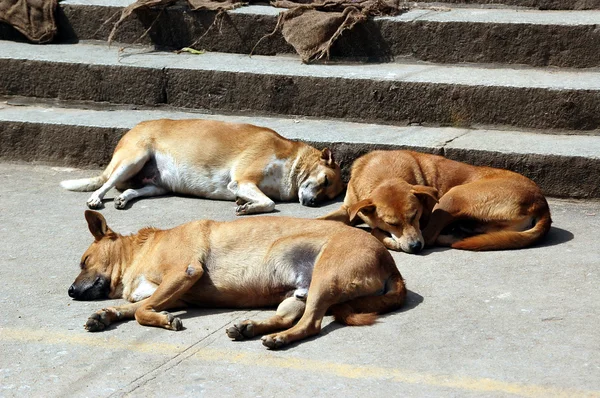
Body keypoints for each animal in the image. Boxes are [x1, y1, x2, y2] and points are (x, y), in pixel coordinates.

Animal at [60, 119, 344, 215]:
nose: (313, 204)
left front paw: (246, 204)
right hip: (133, 158)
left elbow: (266, 200)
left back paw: (124, 198)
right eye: (326, 181)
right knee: (106, 183)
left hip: (159, 185)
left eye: (328, 195)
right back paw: (96, 198)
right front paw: (249, 207)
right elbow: (270, 202)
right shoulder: (241, 181)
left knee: (133, 190)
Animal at [69, 211, 408, 348]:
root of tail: (390, 262)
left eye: (84, 261)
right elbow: (134, 308)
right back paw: (251, 328)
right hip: (299, 292)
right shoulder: (168, 292)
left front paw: (162, 320)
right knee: (288, 318)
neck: (140, 251)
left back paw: (279, 339)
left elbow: (140, 311)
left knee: (310, 324)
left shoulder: (183, 272)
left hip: (326, 278)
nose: (70, 291)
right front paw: (106, 314)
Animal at [322, 151, 552, 253]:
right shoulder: (348, 208)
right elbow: (324, 219)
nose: (415, 247)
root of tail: (542, 203)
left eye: (414, 215)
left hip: (450, 198)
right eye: (393, 223)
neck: (382, 174)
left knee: (431, 236)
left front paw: (386, 238)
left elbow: (376, 231)